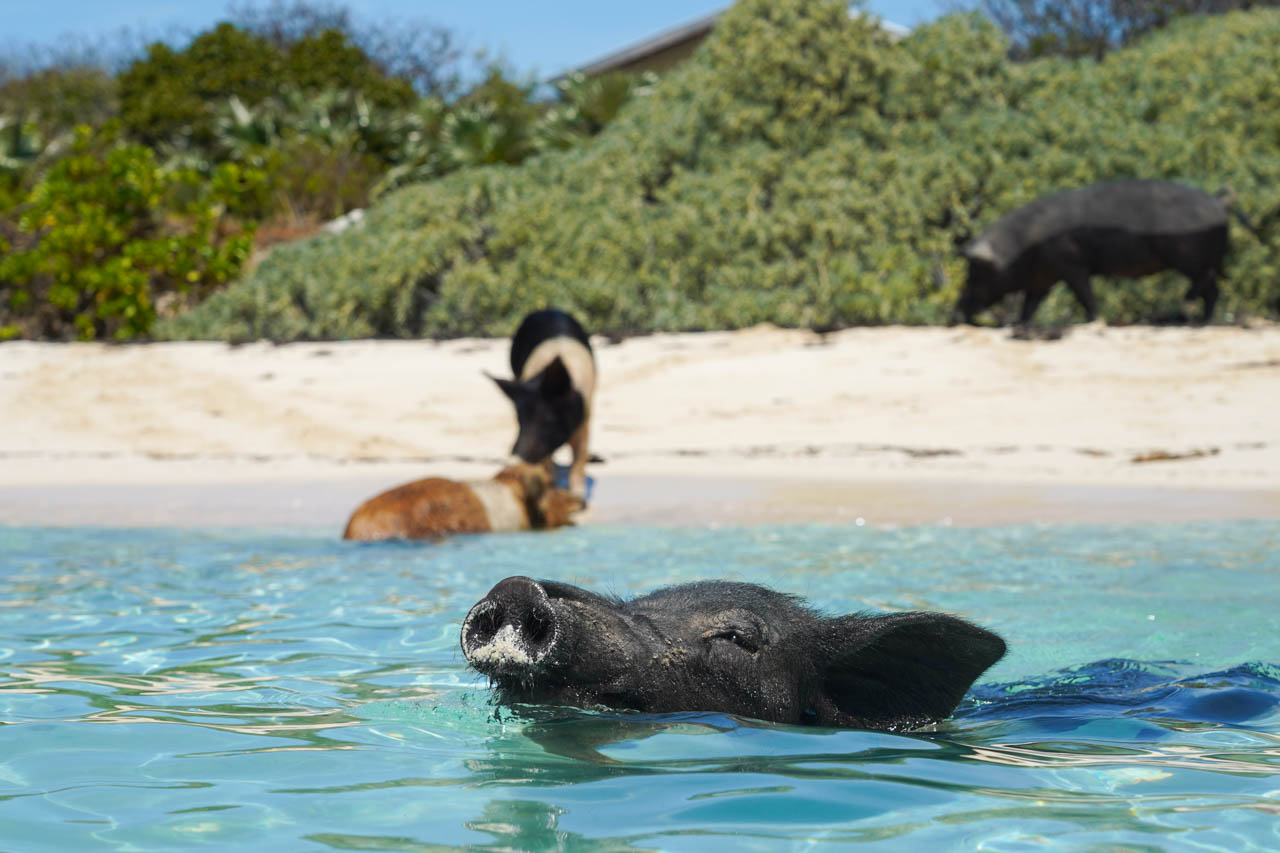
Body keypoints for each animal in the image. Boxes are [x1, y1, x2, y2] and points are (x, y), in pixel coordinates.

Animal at [490, 310, 596, 499]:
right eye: (520, 420)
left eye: (548, 419)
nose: (514, 458)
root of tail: (547, 309)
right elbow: (547, 463)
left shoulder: (585, 417)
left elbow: (579, 458)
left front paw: (579, 495)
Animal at [955, 180, 1231, 327]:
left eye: (976, 273)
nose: (956, 312)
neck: (1024, 245)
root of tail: (1218, 203)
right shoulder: (1042, 277)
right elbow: (1031, 303)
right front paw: (1020, 324)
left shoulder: (1071, 263)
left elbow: (1084, 293)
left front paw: (1094, 319)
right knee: (1213, 288)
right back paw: (1202, 319)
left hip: (1188, 256)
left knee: (1207, 283)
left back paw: (1192, 312)